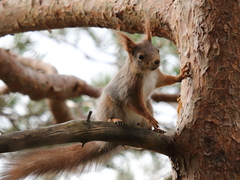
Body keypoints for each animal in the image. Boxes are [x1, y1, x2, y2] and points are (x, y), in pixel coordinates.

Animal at [0, 20, 190, 179]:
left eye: (157, 49)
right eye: (140, 56)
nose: (157, 61)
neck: (147, 73)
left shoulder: (157, 77)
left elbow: (165, 80)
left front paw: (181, 75)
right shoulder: (129, 90)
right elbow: (134, 104)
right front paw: (151, 118)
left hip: (148, 103)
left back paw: (152, 129)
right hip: (110, 104)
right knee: (114, 114)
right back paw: (115, 120)